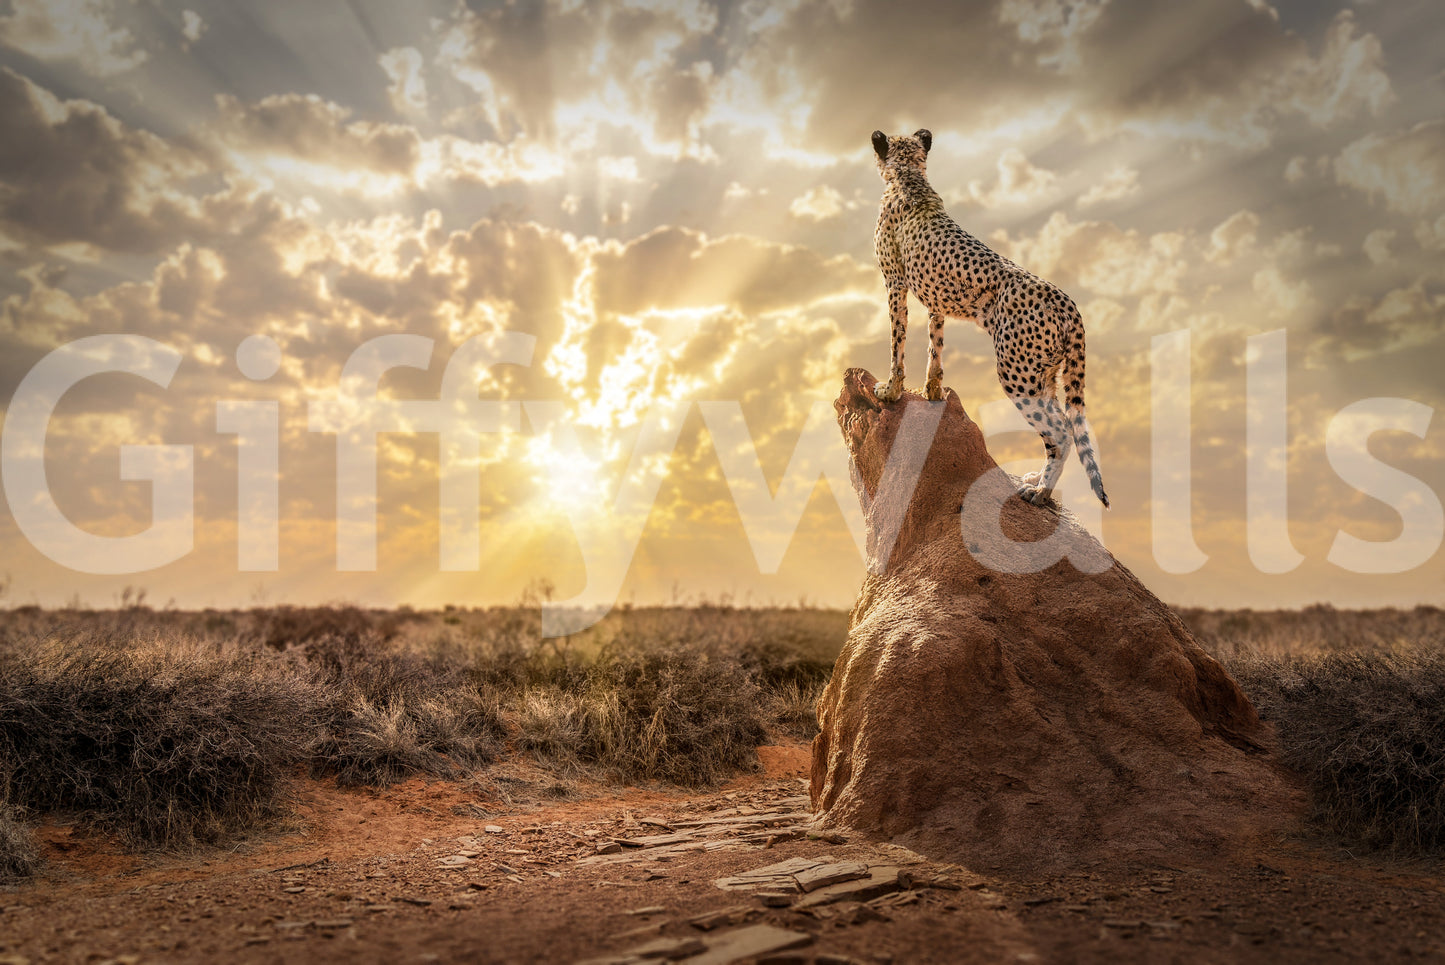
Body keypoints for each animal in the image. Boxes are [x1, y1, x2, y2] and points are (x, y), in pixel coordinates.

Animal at [870, 127, 1108, 508]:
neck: (909, 176)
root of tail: (1066, 300)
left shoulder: (894, 283)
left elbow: (897, 342)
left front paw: (891, 390)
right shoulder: (935, 300)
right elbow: (935, 345)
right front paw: (933, 390)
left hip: (1017, 372)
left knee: (1060, 431)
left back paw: (1041, 491)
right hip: (1044, 374)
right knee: (1064, 424)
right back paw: (1037, 480)